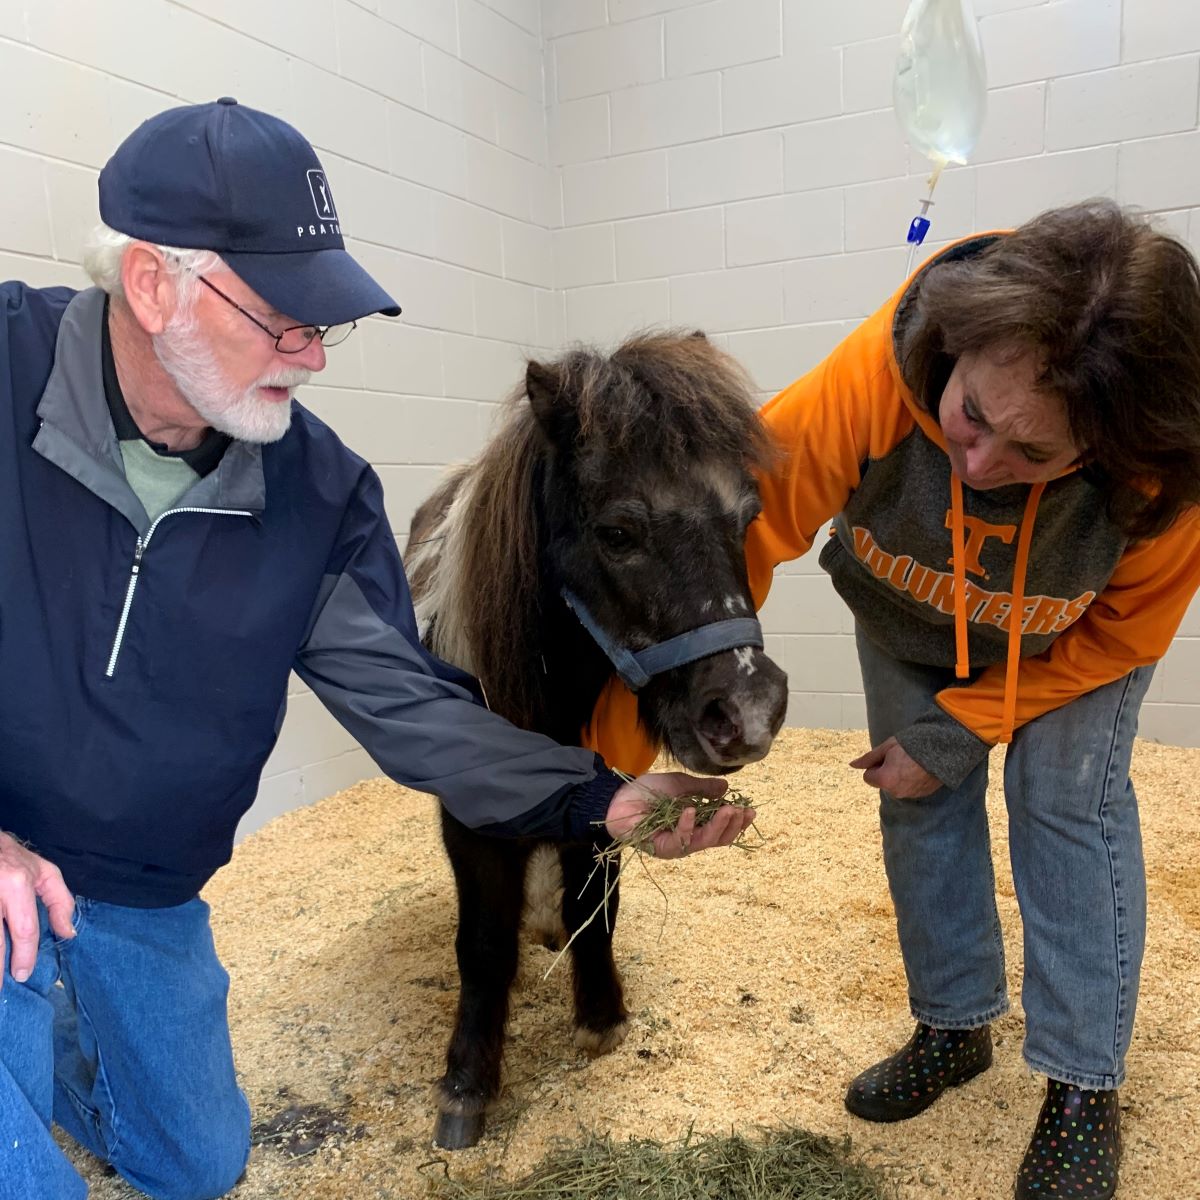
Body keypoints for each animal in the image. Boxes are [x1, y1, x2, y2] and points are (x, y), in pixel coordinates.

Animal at [404, 329, 789, 1149]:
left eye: (746, 520)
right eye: (617, 533)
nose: (747, 712)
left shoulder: (604, 796)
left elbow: (595, 908)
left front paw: (601, 1014)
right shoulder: (469, 822)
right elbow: (483, 945)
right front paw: (466, 1085)